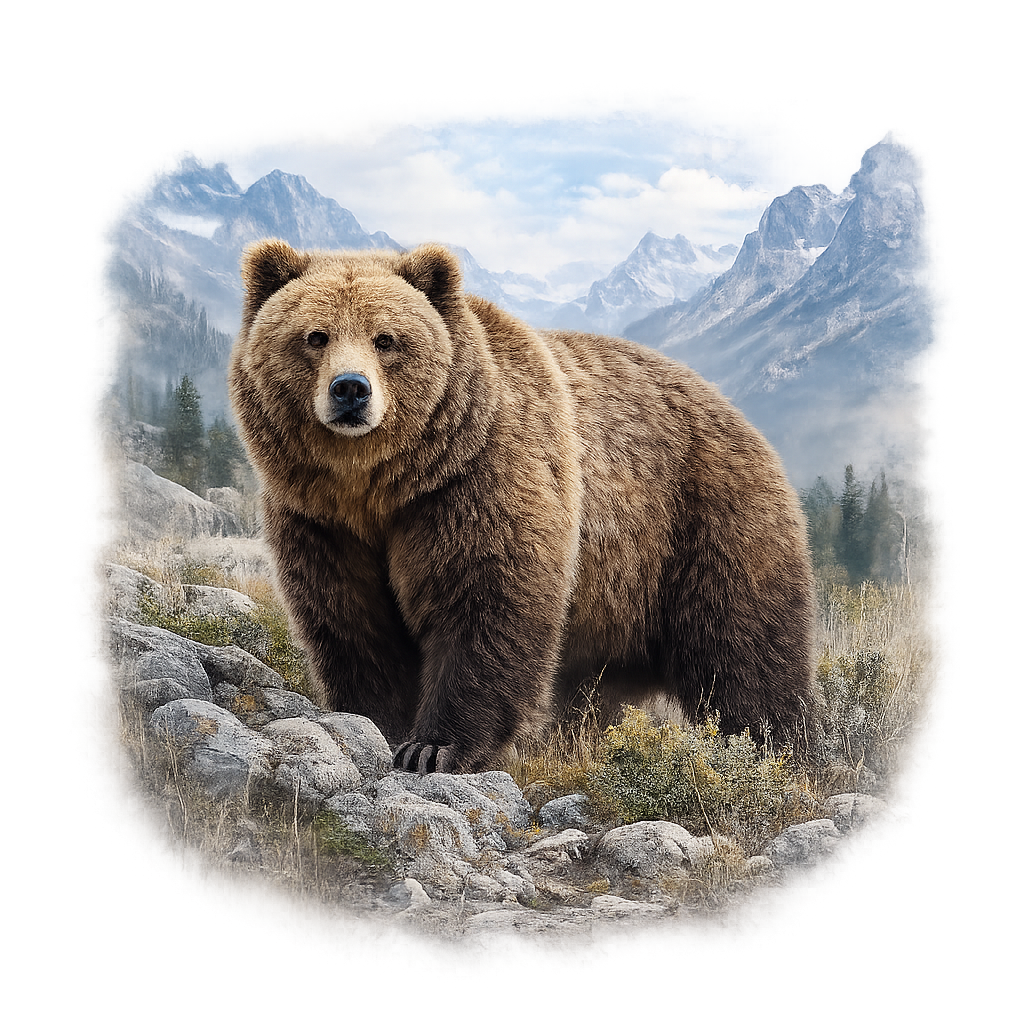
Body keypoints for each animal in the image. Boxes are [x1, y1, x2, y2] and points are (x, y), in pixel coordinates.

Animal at [229, 238, 821, 774]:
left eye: (386, 339)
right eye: (315, 335)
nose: (350, 389)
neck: (382, 485)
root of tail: (739, 417)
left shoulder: (477, 479)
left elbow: (484, 597)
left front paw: (434, 747)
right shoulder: (320, 518)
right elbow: (351, 620)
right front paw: (377, 720)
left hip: (701, 524)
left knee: (744, 656)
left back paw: (776, 752)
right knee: (595, 687)